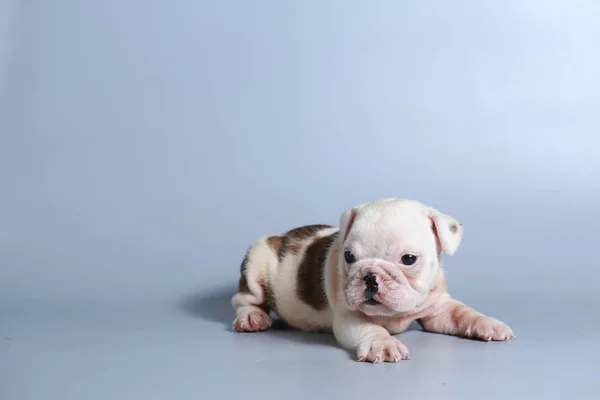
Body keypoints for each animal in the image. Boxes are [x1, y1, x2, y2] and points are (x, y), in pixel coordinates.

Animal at [232, 198, 512, 364]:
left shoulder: (438, 309)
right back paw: (252, 318)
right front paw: (384, 344)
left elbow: (463, 314)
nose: (369, 276)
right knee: (245, 299)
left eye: (408, 259)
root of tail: (281, 236)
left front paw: (489, 324)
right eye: (349, 256)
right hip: (256, 261)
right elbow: (371, 329)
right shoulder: (349, 317)